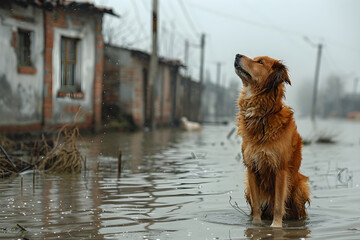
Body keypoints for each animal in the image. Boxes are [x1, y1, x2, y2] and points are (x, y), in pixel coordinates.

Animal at [233, 53, 310, 228]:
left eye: (260, 62)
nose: (237, 55)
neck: (262, 116)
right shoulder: (252, 168)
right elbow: (256, 206)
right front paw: (256, 225)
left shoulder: (280, 169)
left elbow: (278, 205)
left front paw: (276, 227)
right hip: (248, 187)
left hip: (300, 186)